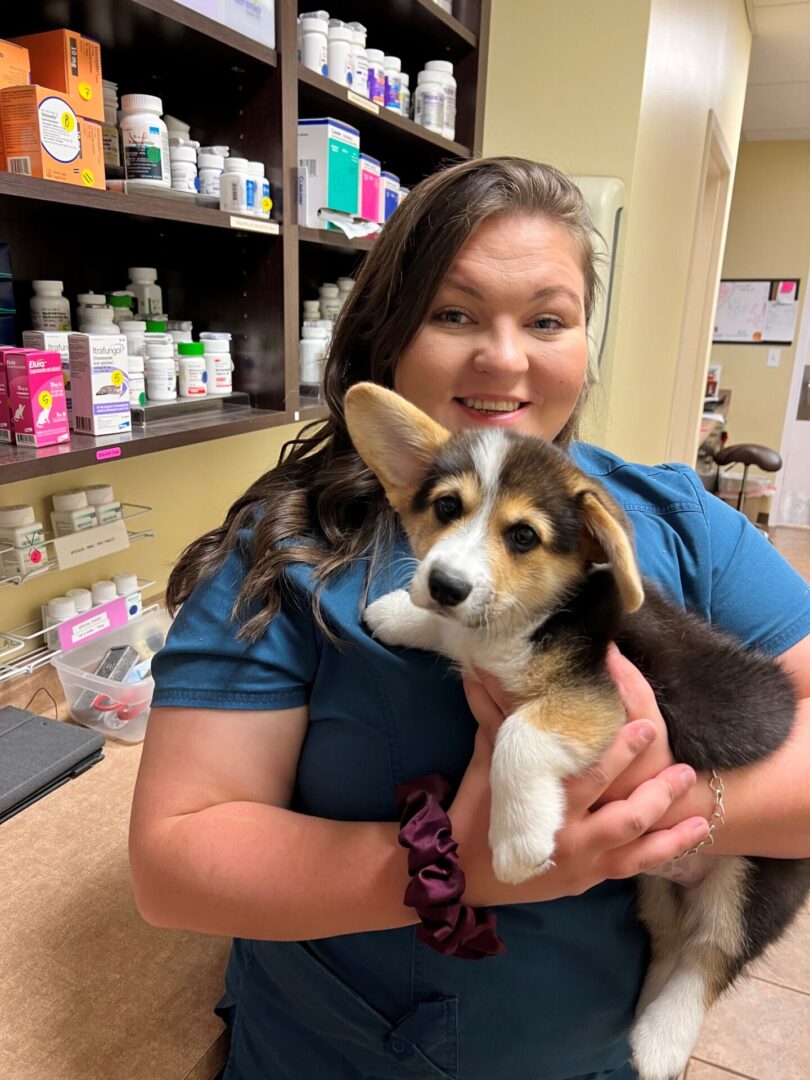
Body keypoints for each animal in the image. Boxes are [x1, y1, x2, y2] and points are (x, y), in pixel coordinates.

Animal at [343, 384, 810, 1080]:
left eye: (523, 536)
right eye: (447, 506)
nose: (444, 584)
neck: (532, 616)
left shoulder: (604, 702)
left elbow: (520, 734)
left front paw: (518, 841)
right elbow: (456, 635)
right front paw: (401, 612)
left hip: (756, 875)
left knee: (713, 952)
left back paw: (662, 1038)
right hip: (654, 886)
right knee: (673, 941)